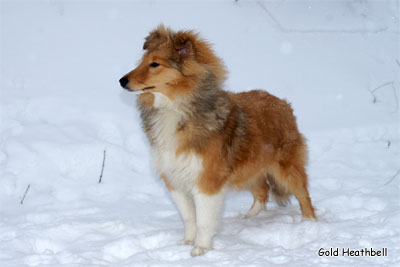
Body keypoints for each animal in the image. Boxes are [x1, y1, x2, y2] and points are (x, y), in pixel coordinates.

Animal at [119, 25, 316, 258]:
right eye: (142, 61)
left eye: (155, 64)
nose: (122, 81)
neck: (176, 108)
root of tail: (283, 103)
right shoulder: (175, 180)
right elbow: (189, 217)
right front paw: (187, 242)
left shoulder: (207, 180)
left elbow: (204, 220)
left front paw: (200, 249)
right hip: (250, 167)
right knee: (263, 191)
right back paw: (248, 218)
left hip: (285, 167)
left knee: (303, 194)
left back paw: (310, 222)